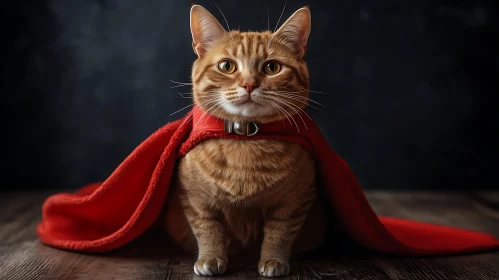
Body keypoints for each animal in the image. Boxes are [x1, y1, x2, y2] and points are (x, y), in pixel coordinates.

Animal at [159, 4, 328, 278]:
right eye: (227, 66)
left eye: (272, 67)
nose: (249, 84)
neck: (245, 140)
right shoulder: (195, 199)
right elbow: (208, 229)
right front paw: (210, 258)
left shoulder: (296, 200)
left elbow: (279, 233)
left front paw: (273, 260)